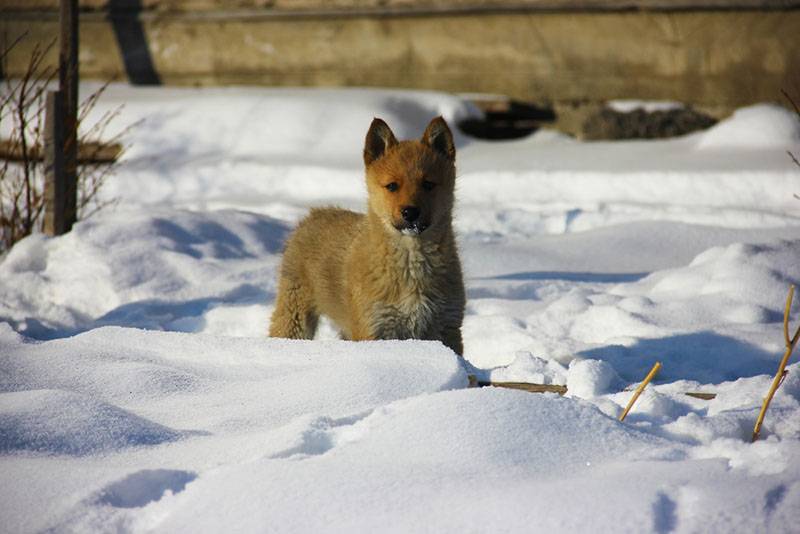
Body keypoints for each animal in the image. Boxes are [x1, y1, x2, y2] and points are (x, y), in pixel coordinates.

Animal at [272, 119, 466, 358]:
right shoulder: (374, 326)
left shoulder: (447, 326)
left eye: (428, 184)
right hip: (294, 313)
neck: (411, 268)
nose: (410, 212)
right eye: (392, 186)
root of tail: (314, 214)